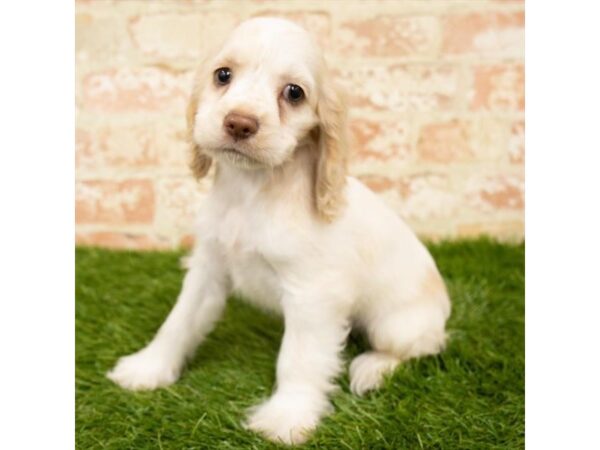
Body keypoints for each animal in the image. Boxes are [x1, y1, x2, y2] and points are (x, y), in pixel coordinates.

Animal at [108, 18, 448, 446]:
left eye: (293, 93)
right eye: (223, 75)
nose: (239, 123)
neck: (251, 190)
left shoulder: (313, 295)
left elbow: (298, 359)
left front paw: (287, 417)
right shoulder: (208, 269)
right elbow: (178, 321)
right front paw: (148, 367)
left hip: (398, 326)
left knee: (419, 348)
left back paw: (371, 369)